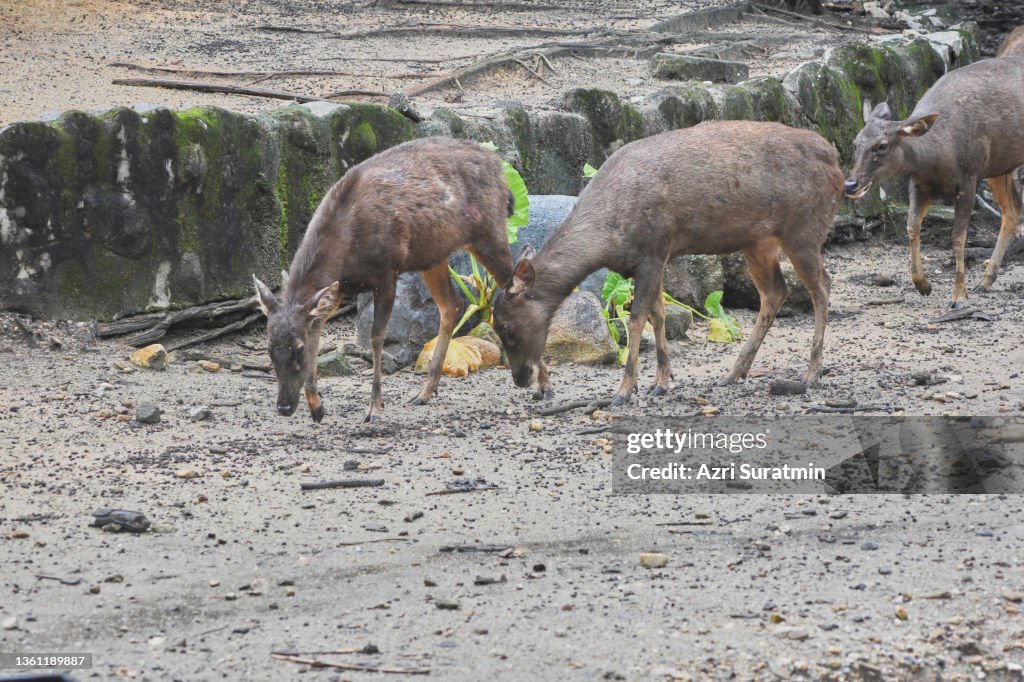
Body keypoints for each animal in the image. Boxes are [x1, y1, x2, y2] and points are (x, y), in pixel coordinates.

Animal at [253, 137, 514, 422]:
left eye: (298, 349)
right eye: (269, 349)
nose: (284, 407)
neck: (347, 247)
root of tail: (498, 166)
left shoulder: (386, 272)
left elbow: (376, 337)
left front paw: (374, 407)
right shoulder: (340, 287)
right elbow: (319, 327)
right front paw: (317, 407)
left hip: (489, 232)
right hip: (433, 254)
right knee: (452, 304)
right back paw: (425, 392)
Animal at [491, 121, 842, 405]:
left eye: (506, 326)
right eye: (495, 325)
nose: (521, 380)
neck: (609, 237)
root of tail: (836, 162)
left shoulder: (652, 251)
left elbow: (637, 319)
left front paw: (624, 391)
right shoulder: (653, 259)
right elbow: (657, 316)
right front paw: (660, 383)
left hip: (804, 229)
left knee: (822, 287)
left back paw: (811, 374)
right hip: (758, 242)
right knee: (775, 292)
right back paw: (734, 373)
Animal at [843, 56, 1024, 308]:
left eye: (882, 145)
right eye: (855, 142)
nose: (850, 184)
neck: (939, 159)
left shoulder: (969, 178)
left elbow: (958, 236)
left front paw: (959, 296)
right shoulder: (921, 184)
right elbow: (911, 226)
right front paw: (923, 285)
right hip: (1000, 166)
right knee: (1012, 211)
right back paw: (986, 280)